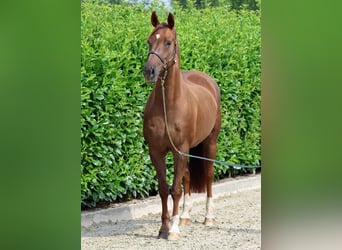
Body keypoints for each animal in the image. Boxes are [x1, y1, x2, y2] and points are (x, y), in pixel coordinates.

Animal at [142, 11, 220, 240]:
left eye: (168, 42)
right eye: (149, 41)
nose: (149, 71)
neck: (168, 105)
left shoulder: (179, 151)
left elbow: (175, 189)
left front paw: (173, 230)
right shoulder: (156, 152)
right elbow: (164, 188)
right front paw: (163, 228)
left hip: (209, 143)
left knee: (209, 176)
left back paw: (208, 217)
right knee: (187, 178)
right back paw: (185, 216)